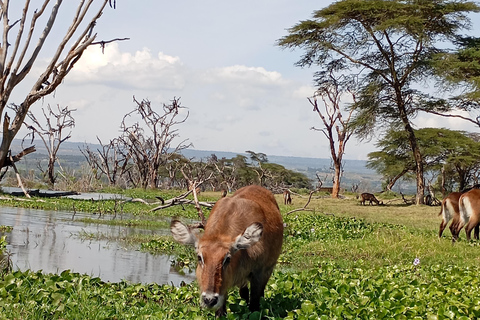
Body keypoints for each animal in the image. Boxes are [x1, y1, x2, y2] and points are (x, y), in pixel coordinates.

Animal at [171, 185, 284, 318]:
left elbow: (254, 305)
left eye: (227, 259)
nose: (209, 300)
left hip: (269, 268)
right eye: (199, 257)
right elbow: (221, 311)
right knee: (244, 292)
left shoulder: (259, 273)